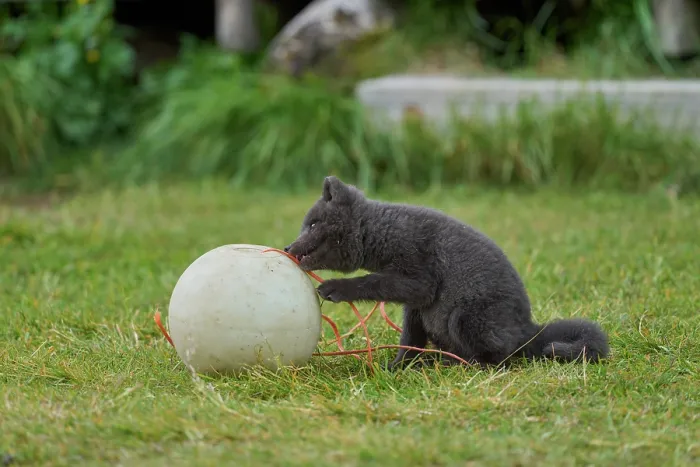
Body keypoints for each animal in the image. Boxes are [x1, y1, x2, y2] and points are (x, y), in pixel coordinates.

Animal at [284, 176, 610, 370]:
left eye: (313, 224)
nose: (287, 247)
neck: (383, 231)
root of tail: (528, 328)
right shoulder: (415, 307)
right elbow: (409, 341)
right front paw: (397, 368)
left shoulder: (420, 282)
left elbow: (373, 281)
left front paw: (336, 287)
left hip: (463, 317)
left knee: (502, 356)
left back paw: (464, 365)